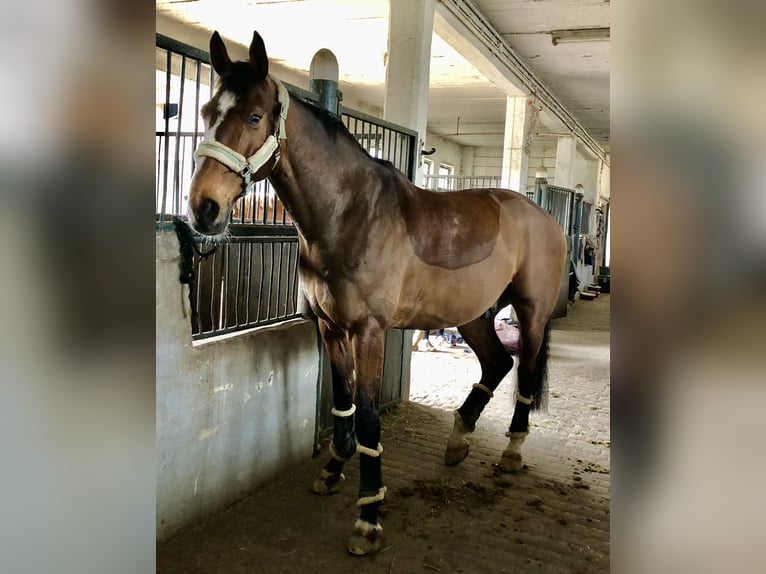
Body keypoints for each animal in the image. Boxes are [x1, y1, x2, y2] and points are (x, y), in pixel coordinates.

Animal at [188, 30, 568, 560]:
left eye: (254, 117)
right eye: (206, 111)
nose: (203, 208)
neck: (348, 216)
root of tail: (543, 217)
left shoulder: (368, 332)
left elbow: (368, 416)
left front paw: (368, 516)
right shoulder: (330, 328)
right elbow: (343, 402)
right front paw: (332, 472)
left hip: (531, 315)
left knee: (525, 372)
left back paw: (511, 450)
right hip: (472, 315)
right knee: (498, 364)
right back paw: (458, 440)